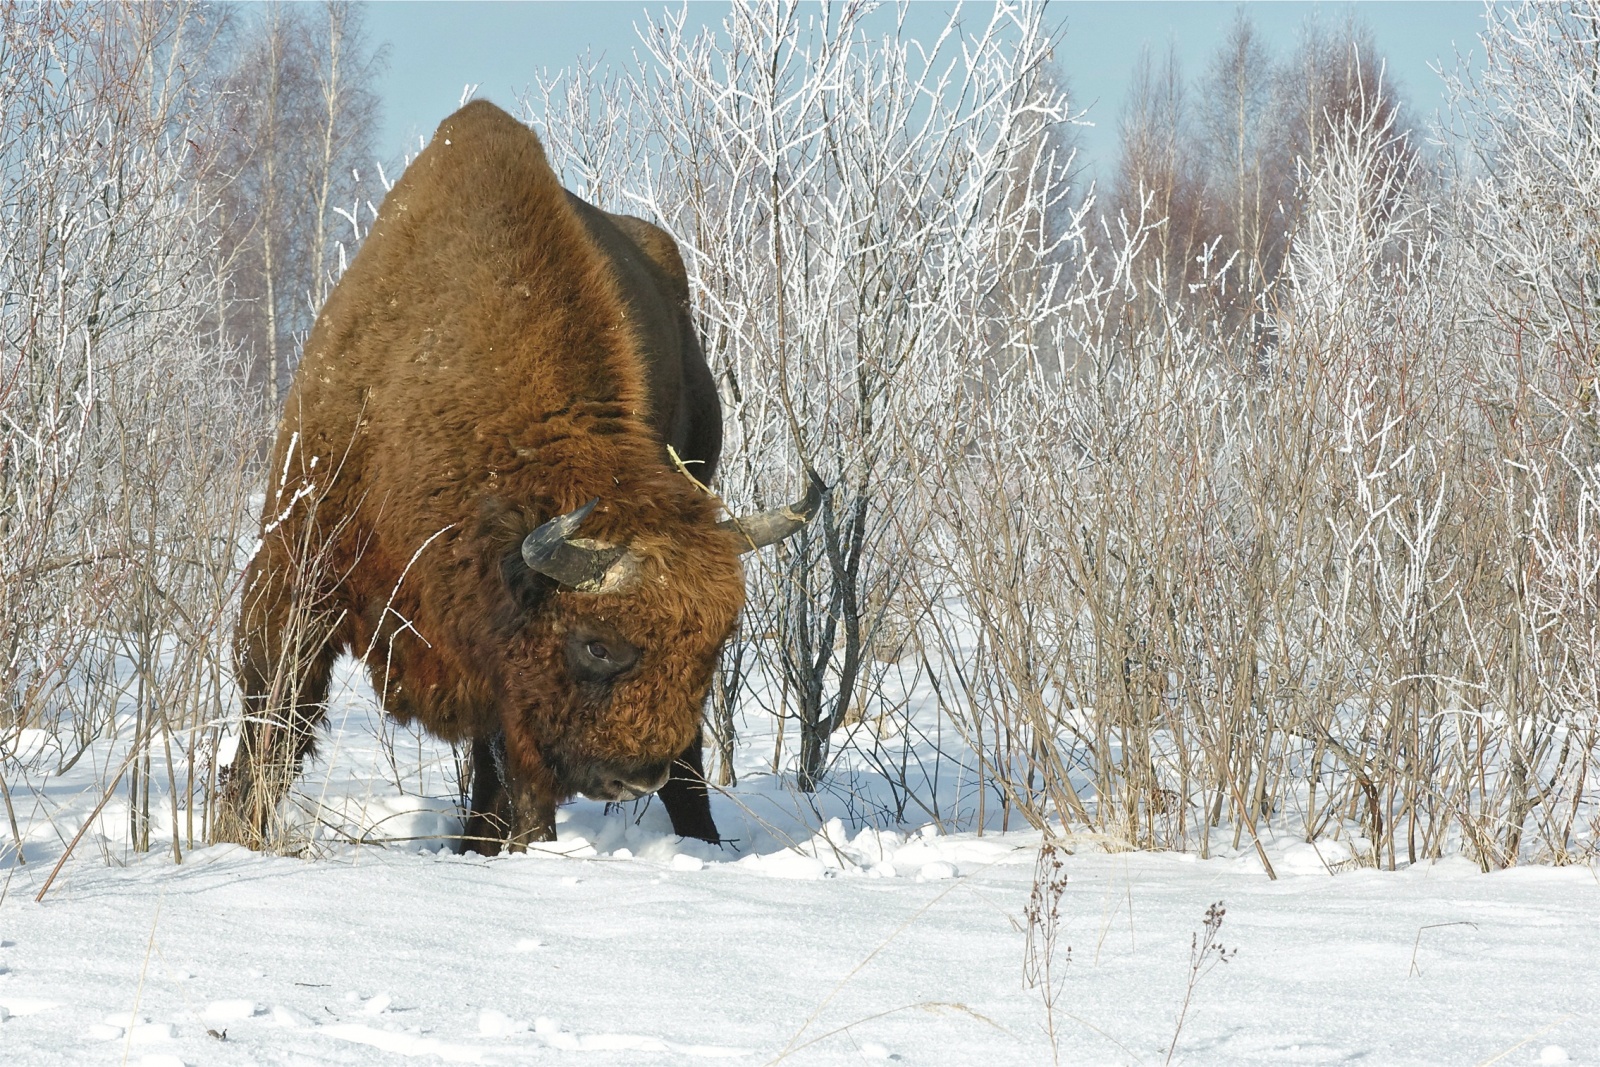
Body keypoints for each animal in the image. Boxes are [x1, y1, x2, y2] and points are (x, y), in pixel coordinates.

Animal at [220, 97, 819, 851]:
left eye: (717, 645)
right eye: (597, 644)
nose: (634, 776)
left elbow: (517, 774)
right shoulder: (296, 568)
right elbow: (274, 715)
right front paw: (234, 833)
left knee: (676, 762)